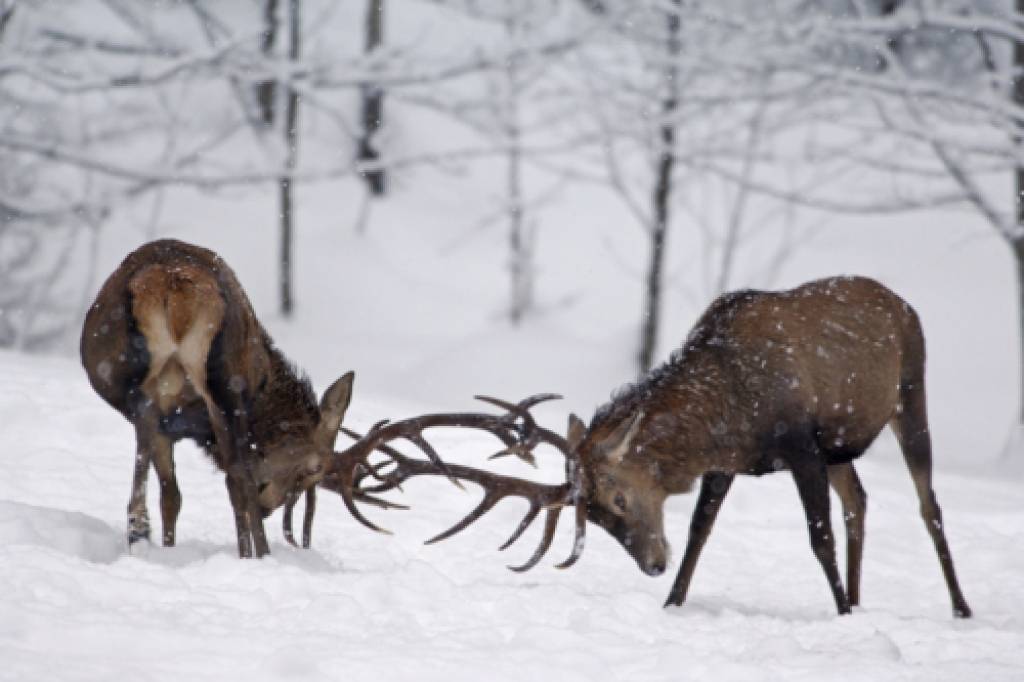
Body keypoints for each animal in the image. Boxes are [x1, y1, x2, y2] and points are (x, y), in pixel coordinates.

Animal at [362, 274, 974, 614]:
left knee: (927, 504)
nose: (652, 565)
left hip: (910, 391)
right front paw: (673, 600)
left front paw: (840, 613)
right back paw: (863, 597)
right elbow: (701, 531)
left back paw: (956, 606)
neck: (728, 412)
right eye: (596, 519)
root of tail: (902, 302)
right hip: (842, 448)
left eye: (617, 499)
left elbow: (816, 536)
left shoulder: (800, 445)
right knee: (860, 501)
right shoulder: (732, 462)